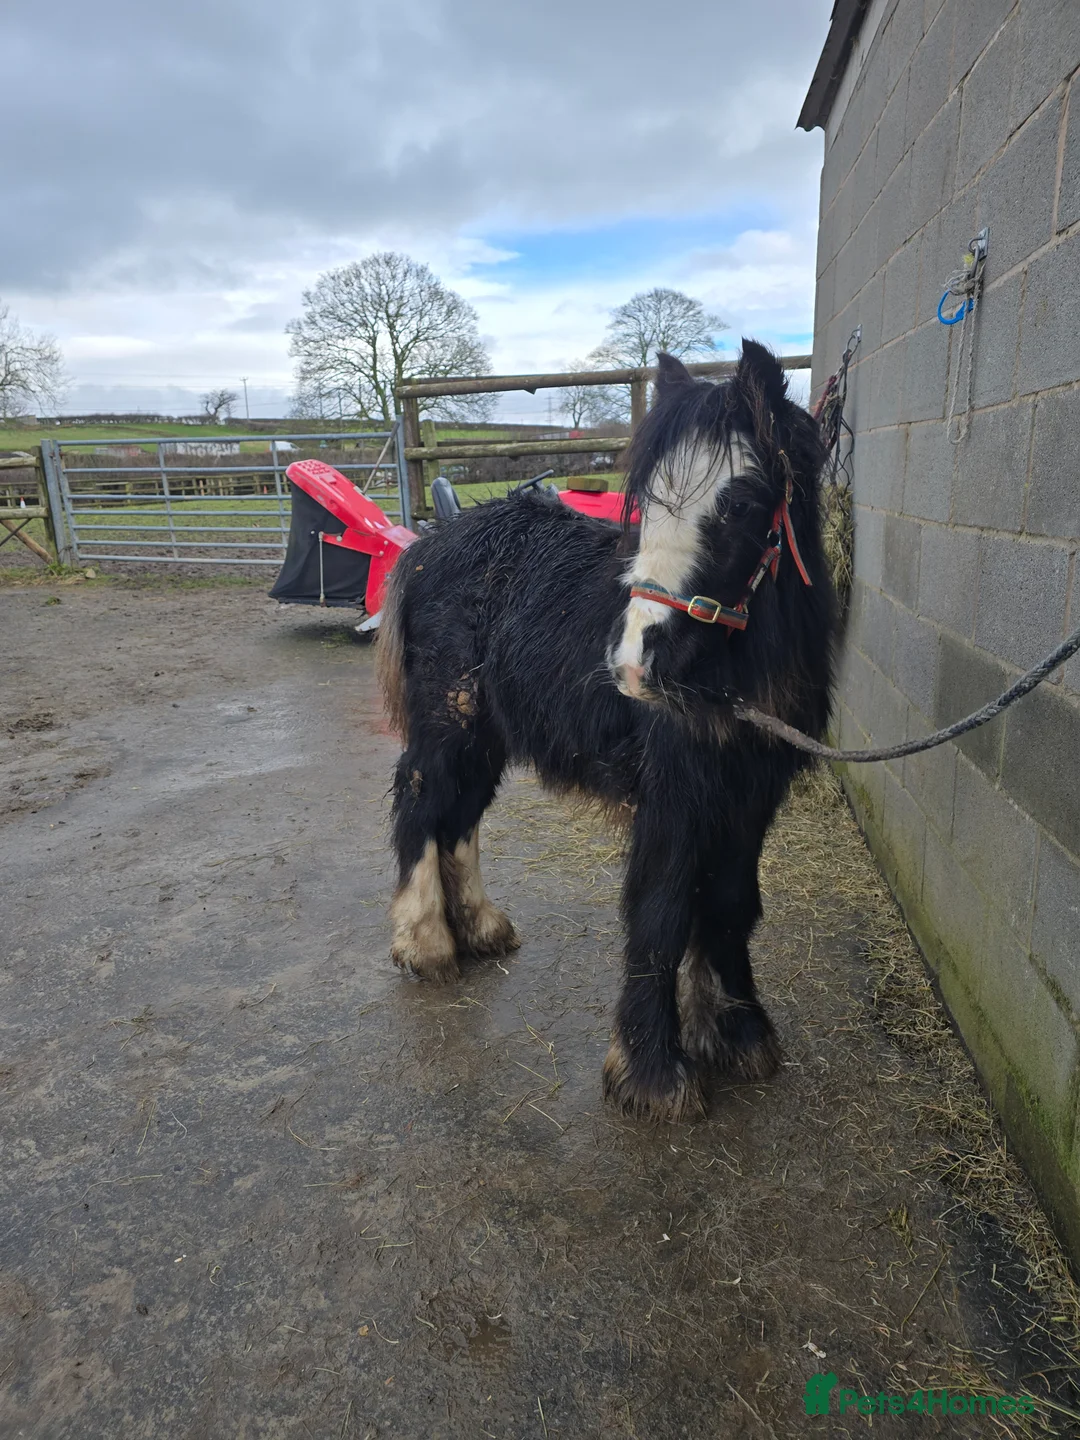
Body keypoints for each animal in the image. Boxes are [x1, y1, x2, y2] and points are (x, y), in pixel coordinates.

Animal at [376, 341, 836, 1121]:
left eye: (741, 504)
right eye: (646, 504)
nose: (632, 664)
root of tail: (435, 541)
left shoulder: (749, 797)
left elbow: (731, 904)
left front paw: (738, 1033)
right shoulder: (674, 796)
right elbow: (660, 912)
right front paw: (652, 1073)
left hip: (488, 734)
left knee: (458, 817)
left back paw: (482, 929)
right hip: (449, 720)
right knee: (421, 802)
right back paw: (427, 945)